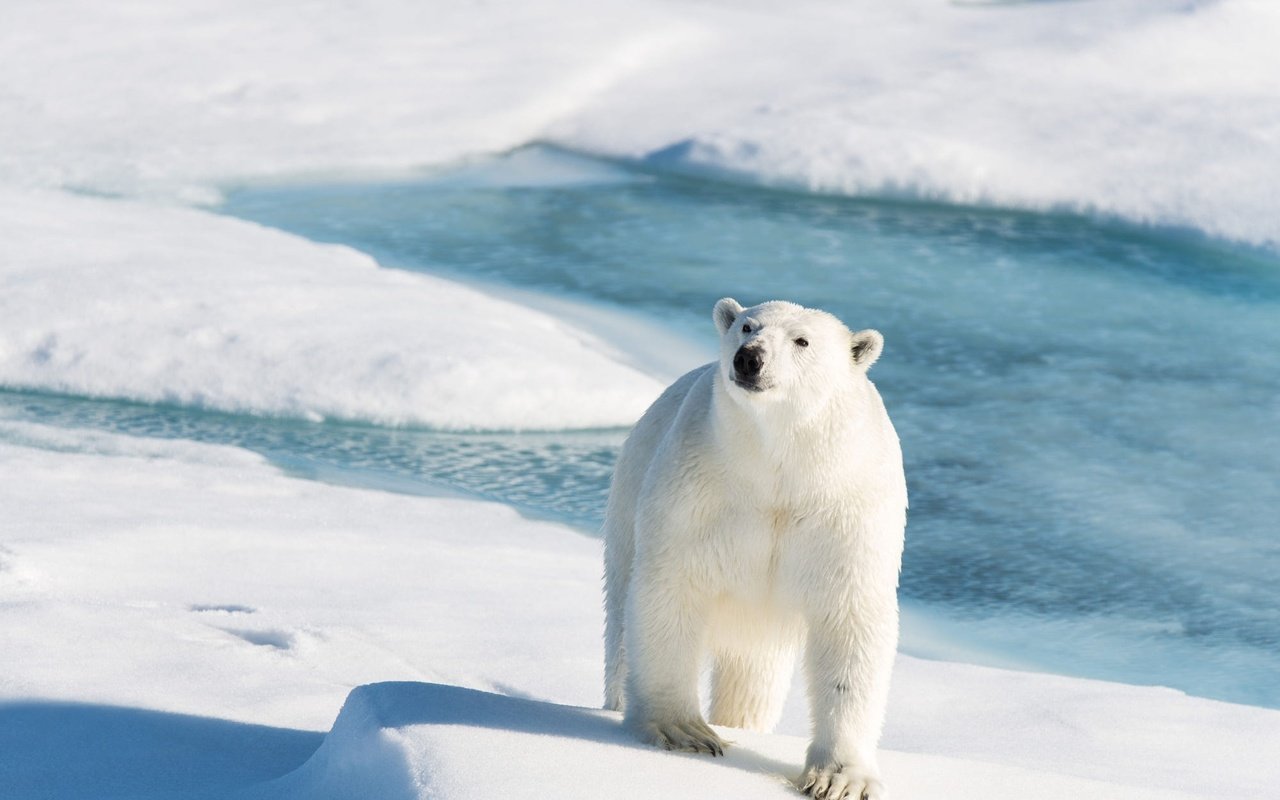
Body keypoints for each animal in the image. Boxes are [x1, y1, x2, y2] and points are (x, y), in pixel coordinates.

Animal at [604, 296, 906, 793]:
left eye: (802, 340)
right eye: (747, 326)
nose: (750, 359)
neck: (778, 467)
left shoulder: (847, 509)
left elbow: (849, 621)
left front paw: (840, 779)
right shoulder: (699, 487)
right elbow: (671, 589)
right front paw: (684, 731)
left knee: (753, 674)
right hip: (627, 502)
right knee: (621, 631)